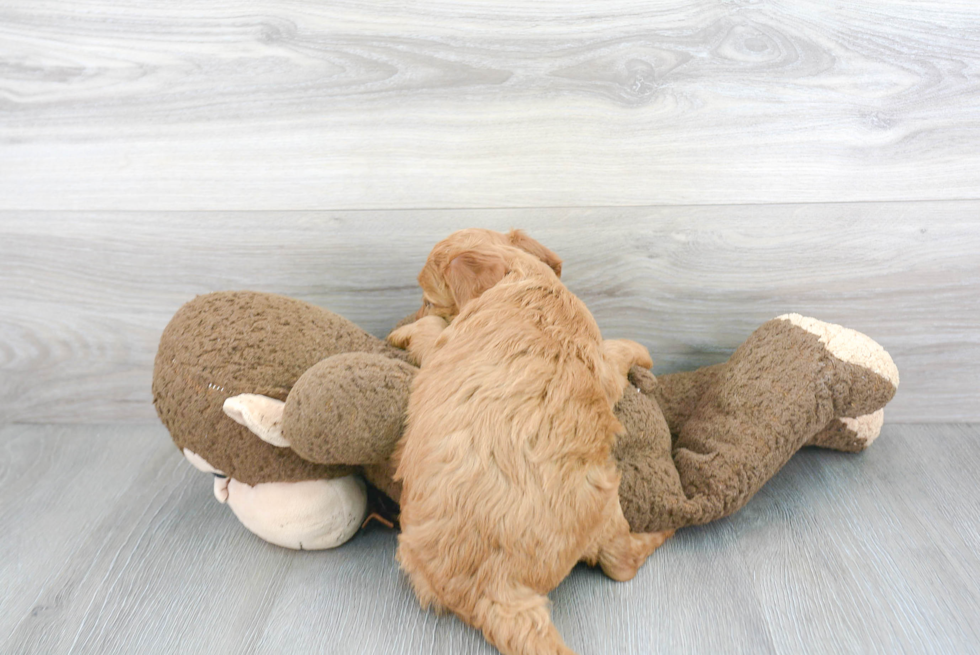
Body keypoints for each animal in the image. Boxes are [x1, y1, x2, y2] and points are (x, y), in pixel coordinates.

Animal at [390, 229, 672, 655]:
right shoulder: (603, 367)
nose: (413, 314)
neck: (522, 277)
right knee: (619, 563)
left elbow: (430, 333)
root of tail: (495, 587)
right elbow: (615, 350)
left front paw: (405, 331)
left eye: (428, 299)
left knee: (623, 560)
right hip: (603, 502)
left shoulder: (443, 343)